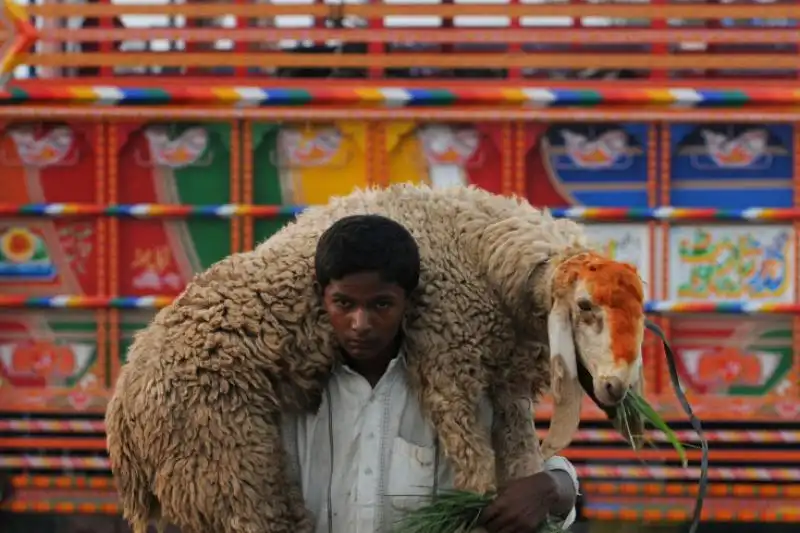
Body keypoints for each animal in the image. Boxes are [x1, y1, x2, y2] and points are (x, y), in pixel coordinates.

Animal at [108, 183, 644, 532]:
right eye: (585, 306)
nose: (617, 387)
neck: (478, 246)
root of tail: (121, 412)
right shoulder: (447, 361)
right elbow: (475, 467)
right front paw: (471, 513)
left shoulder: (502, 377)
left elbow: (522, 457)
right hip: (223, 461)